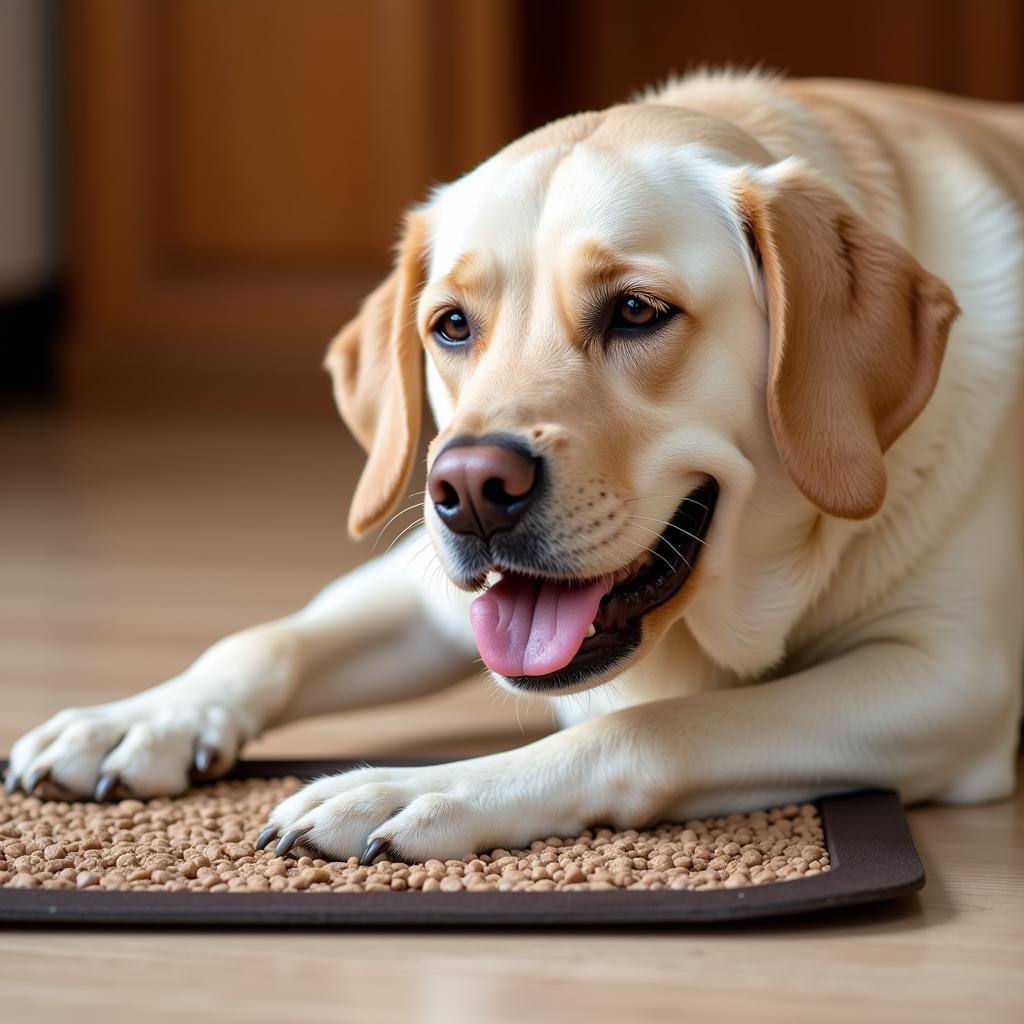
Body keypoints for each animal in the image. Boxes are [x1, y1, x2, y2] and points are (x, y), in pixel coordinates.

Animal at [6, 70, 1015, 864]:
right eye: (451, 324)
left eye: (637, 311)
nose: (470, 491)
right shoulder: (425, 588)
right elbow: (263, 641)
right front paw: (137, 718)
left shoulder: (950, 683)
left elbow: (640, 725)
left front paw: (414, 788)